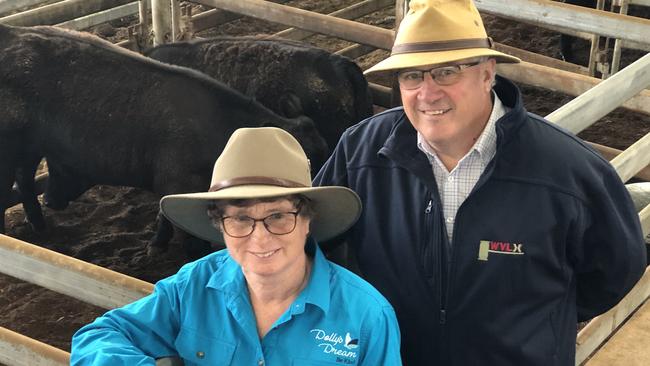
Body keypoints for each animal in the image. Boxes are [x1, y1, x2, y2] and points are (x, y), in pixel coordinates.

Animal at [0, 24, 324, 256]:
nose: (51, 199)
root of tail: (12, 31)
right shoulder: (177, 183)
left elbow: (164, 214)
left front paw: (157, 244)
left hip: (28, 147)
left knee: (24, 179)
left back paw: (38, 224)